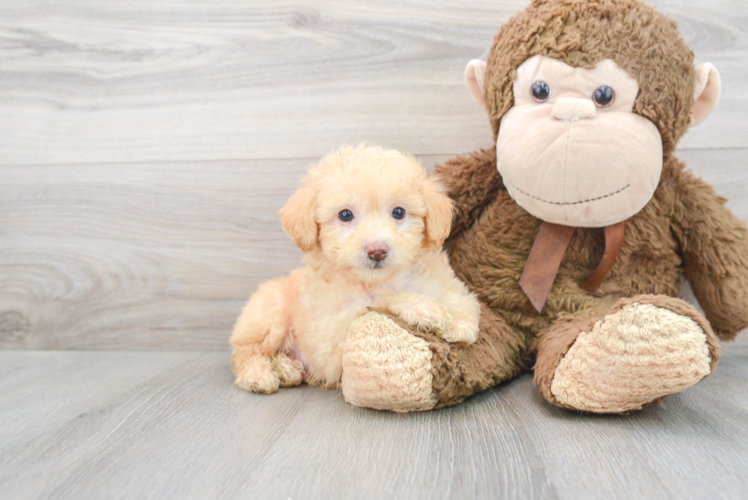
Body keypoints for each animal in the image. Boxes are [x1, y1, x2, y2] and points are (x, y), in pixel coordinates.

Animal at [231, 145, 482, 394]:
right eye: (345, 215)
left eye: (399, 212)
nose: (377, 250)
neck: (379, 280)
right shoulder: (333, 331)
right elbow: (381, 300)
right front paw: (424, 309)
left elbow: (460, 298)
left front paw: (460, 322)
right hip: (270, 313)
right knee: (246, 351)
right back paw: (260, 374)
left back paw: (286, 368)